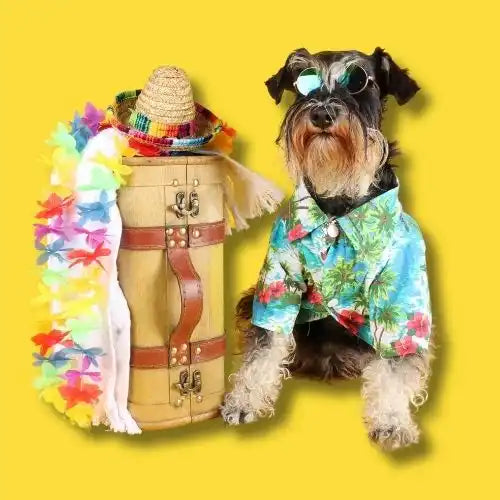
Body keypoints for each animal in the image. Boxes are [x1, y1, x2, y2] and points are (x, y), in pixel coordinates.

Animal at [221, 47, 432, 454]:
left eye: (360, 80)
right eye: (303, 83)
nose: (321, 114)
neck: (338, 203)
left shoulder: (401, 299)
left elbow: (395, 366)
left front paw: (391, 421)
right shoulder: (278, 283)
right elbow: (264, 347)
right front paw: (244, 400)